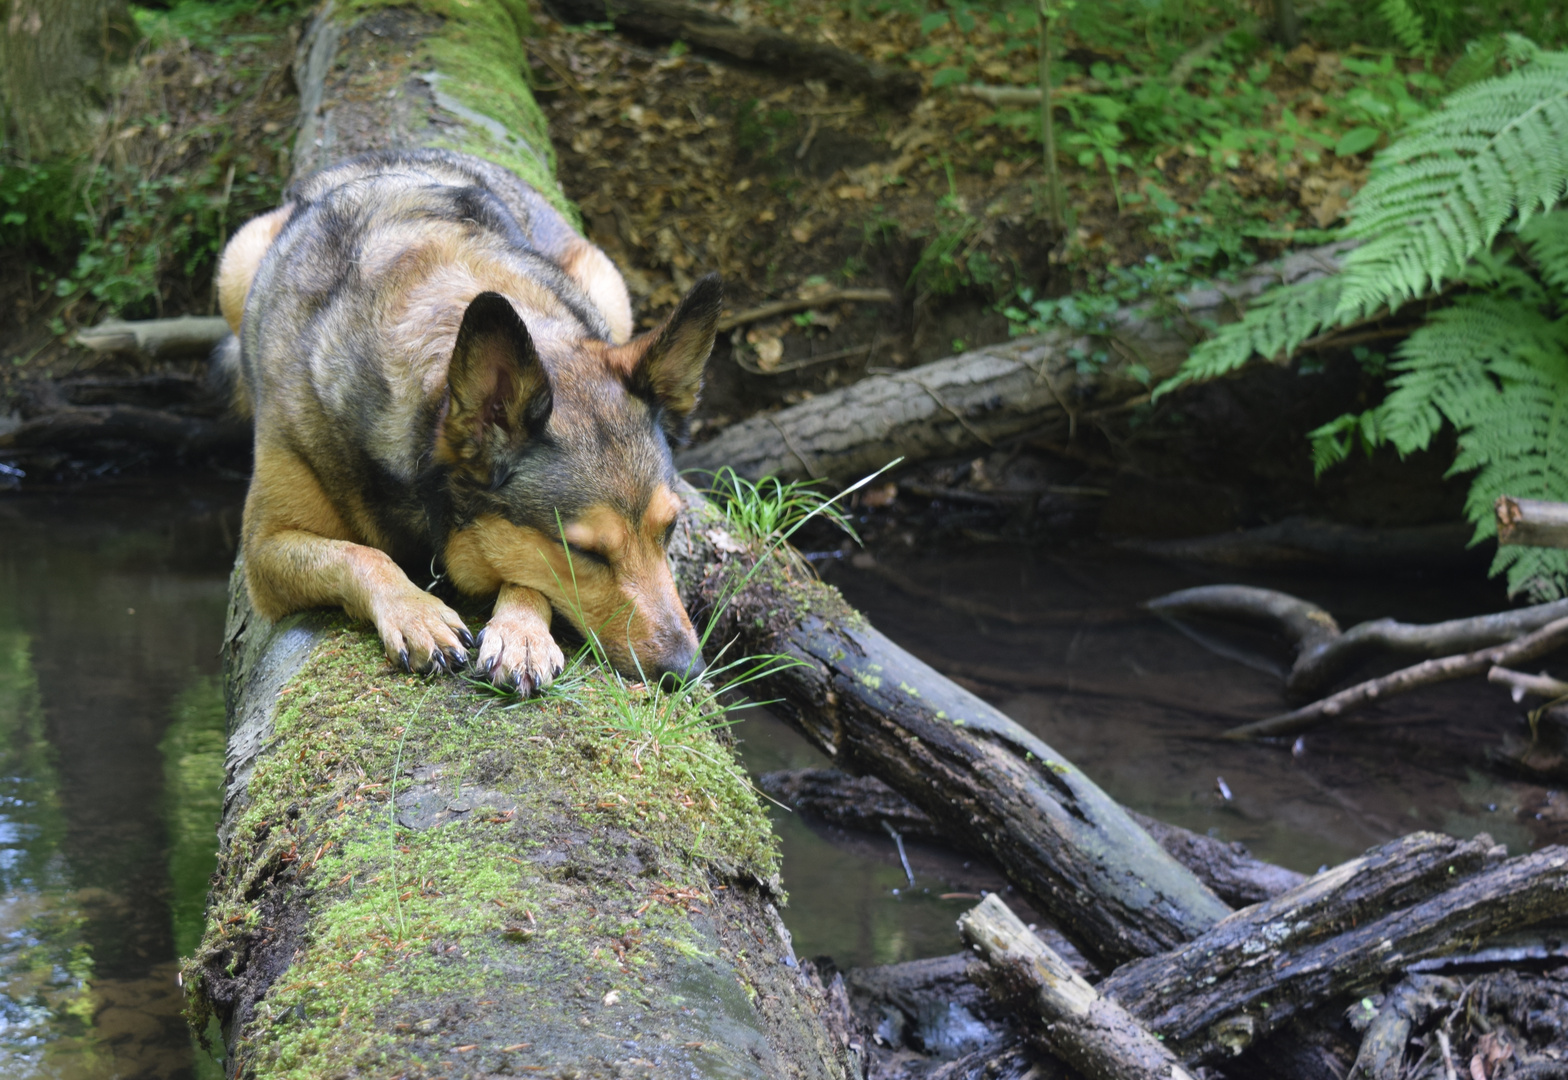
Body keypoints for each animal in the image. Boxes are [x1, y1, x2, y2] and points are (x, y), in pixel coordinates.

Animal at [214, 149, 718, 689]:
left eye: (670, 529)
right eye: (584, 552)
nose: (688, 672)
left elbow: (525, 571)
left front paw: (521, 631)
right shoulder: (264, 548)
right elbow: (361, 554)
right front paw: (416, 611)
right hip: (236, 263)